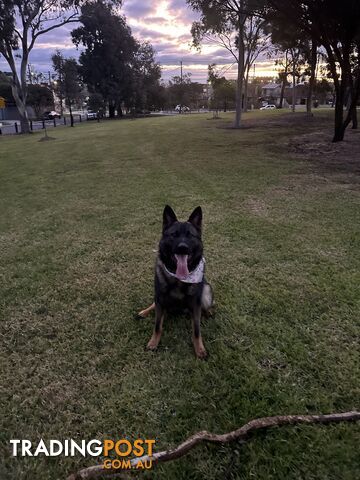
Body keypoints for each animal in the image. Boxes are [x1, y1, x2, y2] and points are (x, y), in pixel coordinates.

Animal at [139, 204, 212, 358]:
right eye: (174, 235)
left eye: (190, 235)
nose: (182, 248)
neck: (179, 278)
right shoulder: (160, 300)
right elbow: (157, 326)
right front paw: (153, 342)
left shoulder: (195, 304)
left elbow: (196, 330)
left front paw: (199, 349)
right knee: (154, 304)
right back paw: (144, 312)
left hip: (207, 291)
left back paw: (208, 312)